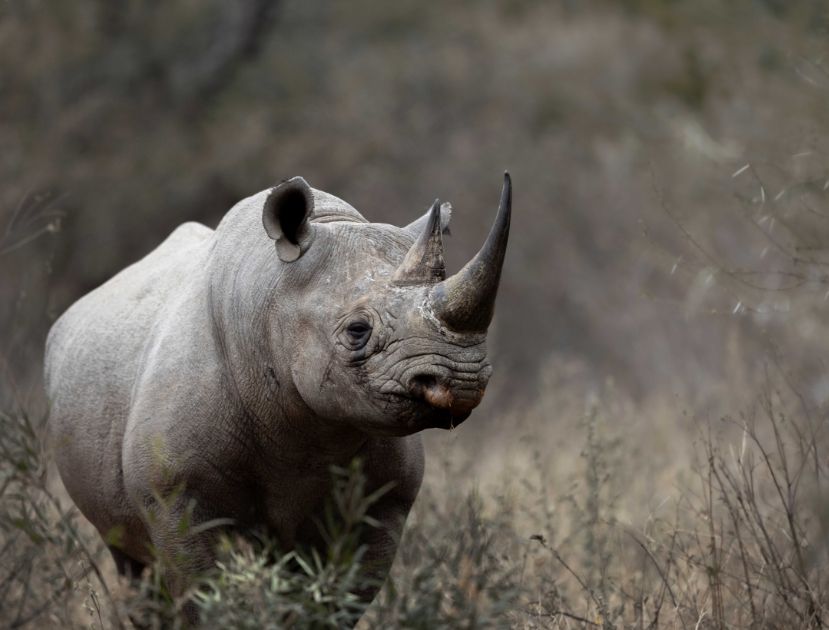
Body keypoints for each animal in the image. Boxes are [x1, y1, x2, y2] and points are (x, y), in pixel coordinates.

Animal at [45, 173, 511, 616]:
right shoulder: (177, 496)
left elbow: (336, 601)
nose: (464, 378)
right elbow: (204, 598)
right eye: (357, 330)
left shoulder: (385, 502)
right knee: (133, 564)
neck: (272, 300)